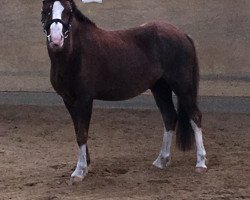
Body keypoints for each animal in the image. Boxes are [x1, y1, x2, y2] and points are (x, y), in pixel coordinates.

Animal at [41, 0, 207, 181]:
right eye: (46, 10)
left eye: (68, 12)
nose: (56, 40)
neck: (75, 54)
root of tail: (183, 34)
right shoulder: (68, 100)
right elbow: (78, 130)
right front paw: (85, 165)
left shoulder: (85, 99)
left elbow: (82, 133)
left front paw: (79, 171)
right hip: (160, 88)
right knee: (169, 117)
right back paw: (161, 161)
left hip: (182, 86)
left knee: (195, 116)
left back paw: (200, 163)